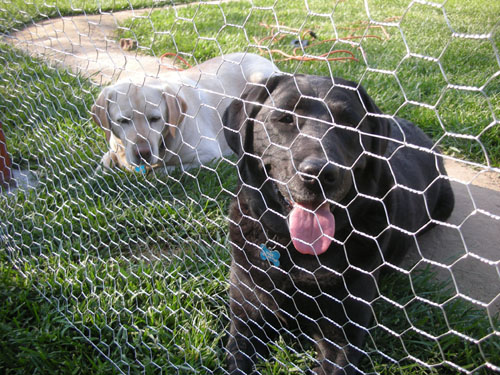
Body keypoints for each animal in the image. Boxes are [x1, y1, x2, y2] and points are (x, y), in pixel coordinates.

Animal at [222, 74, 454, 375]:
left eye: (348, 124)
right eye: (285, 118)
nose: (320, 172)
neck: (297, 254)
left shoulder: (343, 336)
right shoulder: (246, 315)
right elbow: (236, 358)